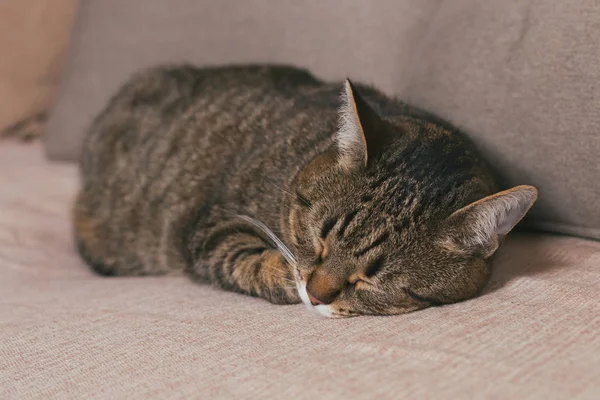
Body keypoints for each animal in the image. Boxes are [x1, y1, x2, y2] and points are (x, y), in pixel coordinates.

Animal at [72, 64, 536, 318]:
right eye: (320, 239)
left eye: (374, 278)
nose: (315, 294)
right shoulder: (214, 223)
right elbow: (254, 261)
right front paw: (286, 272)